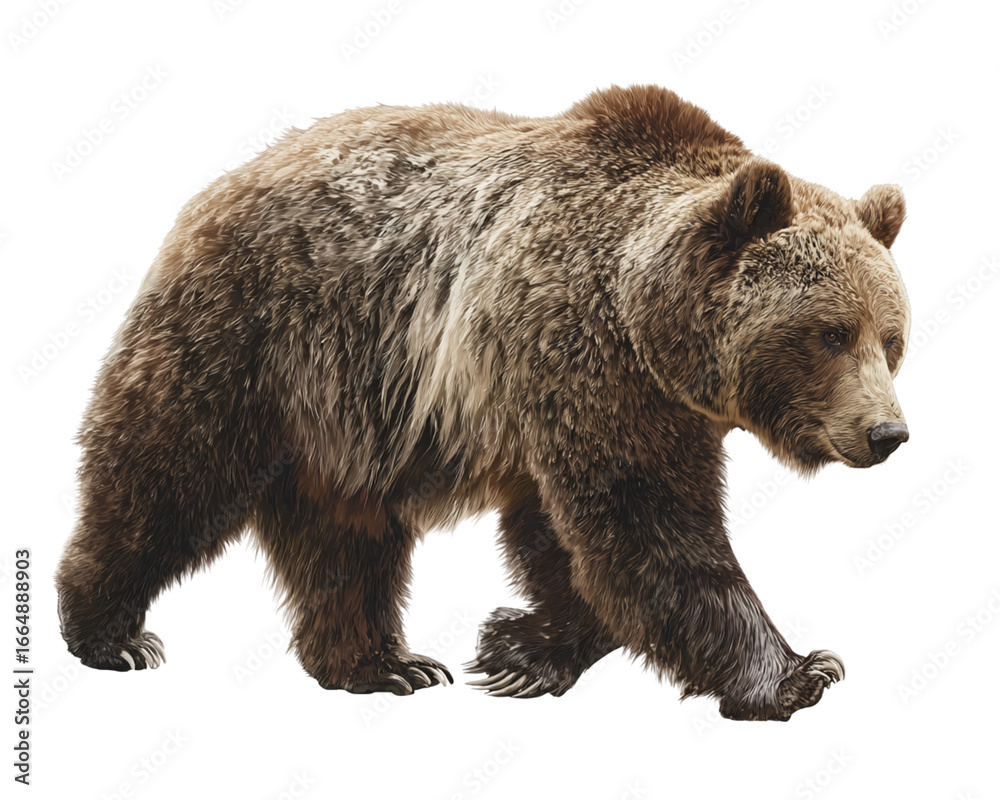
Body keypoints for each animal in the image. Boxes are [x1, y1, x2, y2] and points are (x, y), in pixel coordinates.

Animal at [56, 84, 910, 720]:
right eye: (831, 332)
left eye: (893, 337)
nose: (886, 432)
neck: (644, 319)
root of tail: (222, 181)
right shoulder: (580, 358)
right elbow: (647, 526)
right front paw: (798, 671)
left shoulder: (607, 399)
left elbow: (566, 539)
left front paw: (519, 649)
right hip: (253, 338)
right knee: (169, 473)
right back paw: (109, 632)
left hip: (349, 416)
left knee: (345, 539)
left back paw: (382, 664)